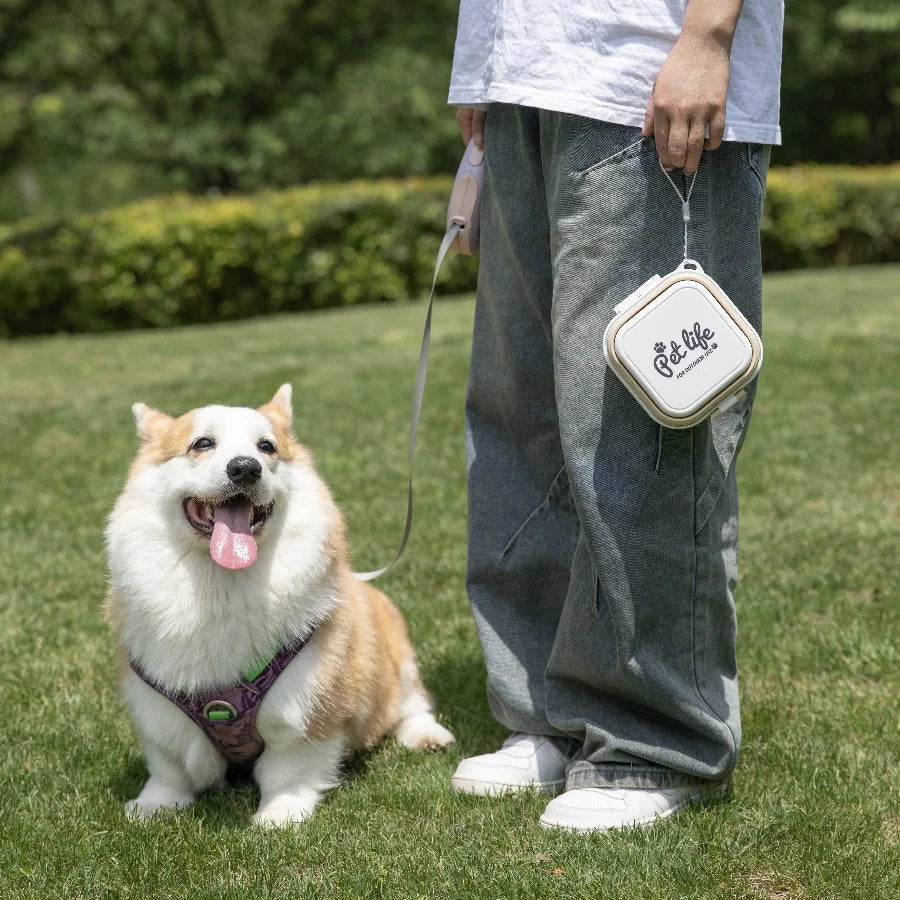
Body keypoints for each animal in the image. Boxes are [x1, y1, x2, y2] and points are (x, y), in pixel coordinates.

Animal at [106, 384, 454, 828]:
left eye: (266, 447)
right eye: (202, 443)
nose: (244, 468)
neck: (222, 583)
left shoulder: (305, 705)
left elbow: (288, 768)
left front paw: (279, 814)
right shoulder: (158, 705)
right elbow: (170, 767)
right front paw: (154, 805)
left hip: (399, 660)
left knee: (410, 705)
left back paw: (427, 736)